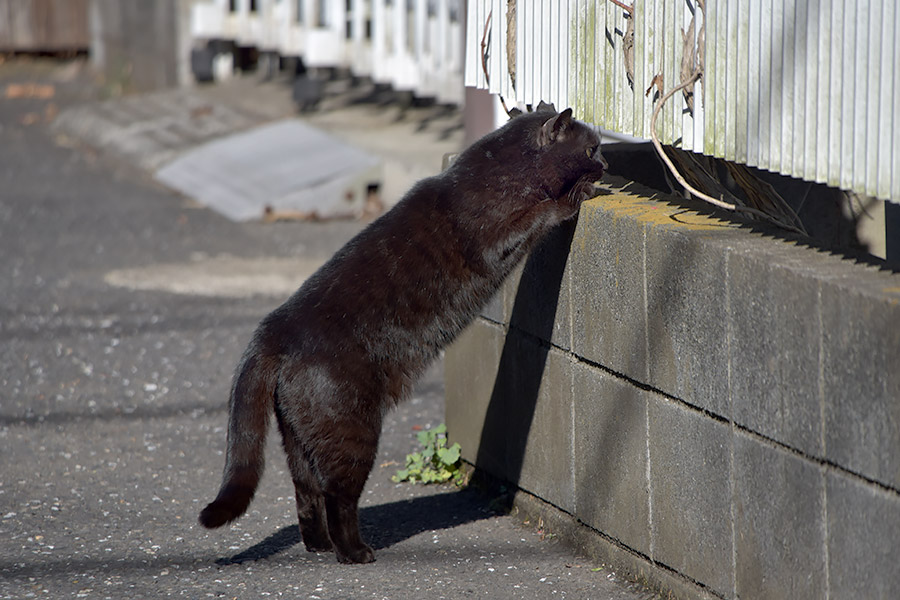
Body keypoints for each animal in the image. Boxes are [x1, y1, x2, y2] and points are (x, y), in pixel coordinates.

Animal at [197, 106, 604, 564]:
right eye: (591, 149)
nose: (607, 164)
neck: (503, 171)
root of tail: (271, 330)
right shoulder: (497, 238)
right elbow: (541, 212)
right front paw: (577, 195)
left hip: (298, 439)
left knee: (305, 490)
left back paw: (319, 546)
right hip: (352, 430)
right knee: (338, 496)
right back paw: (354, 552)